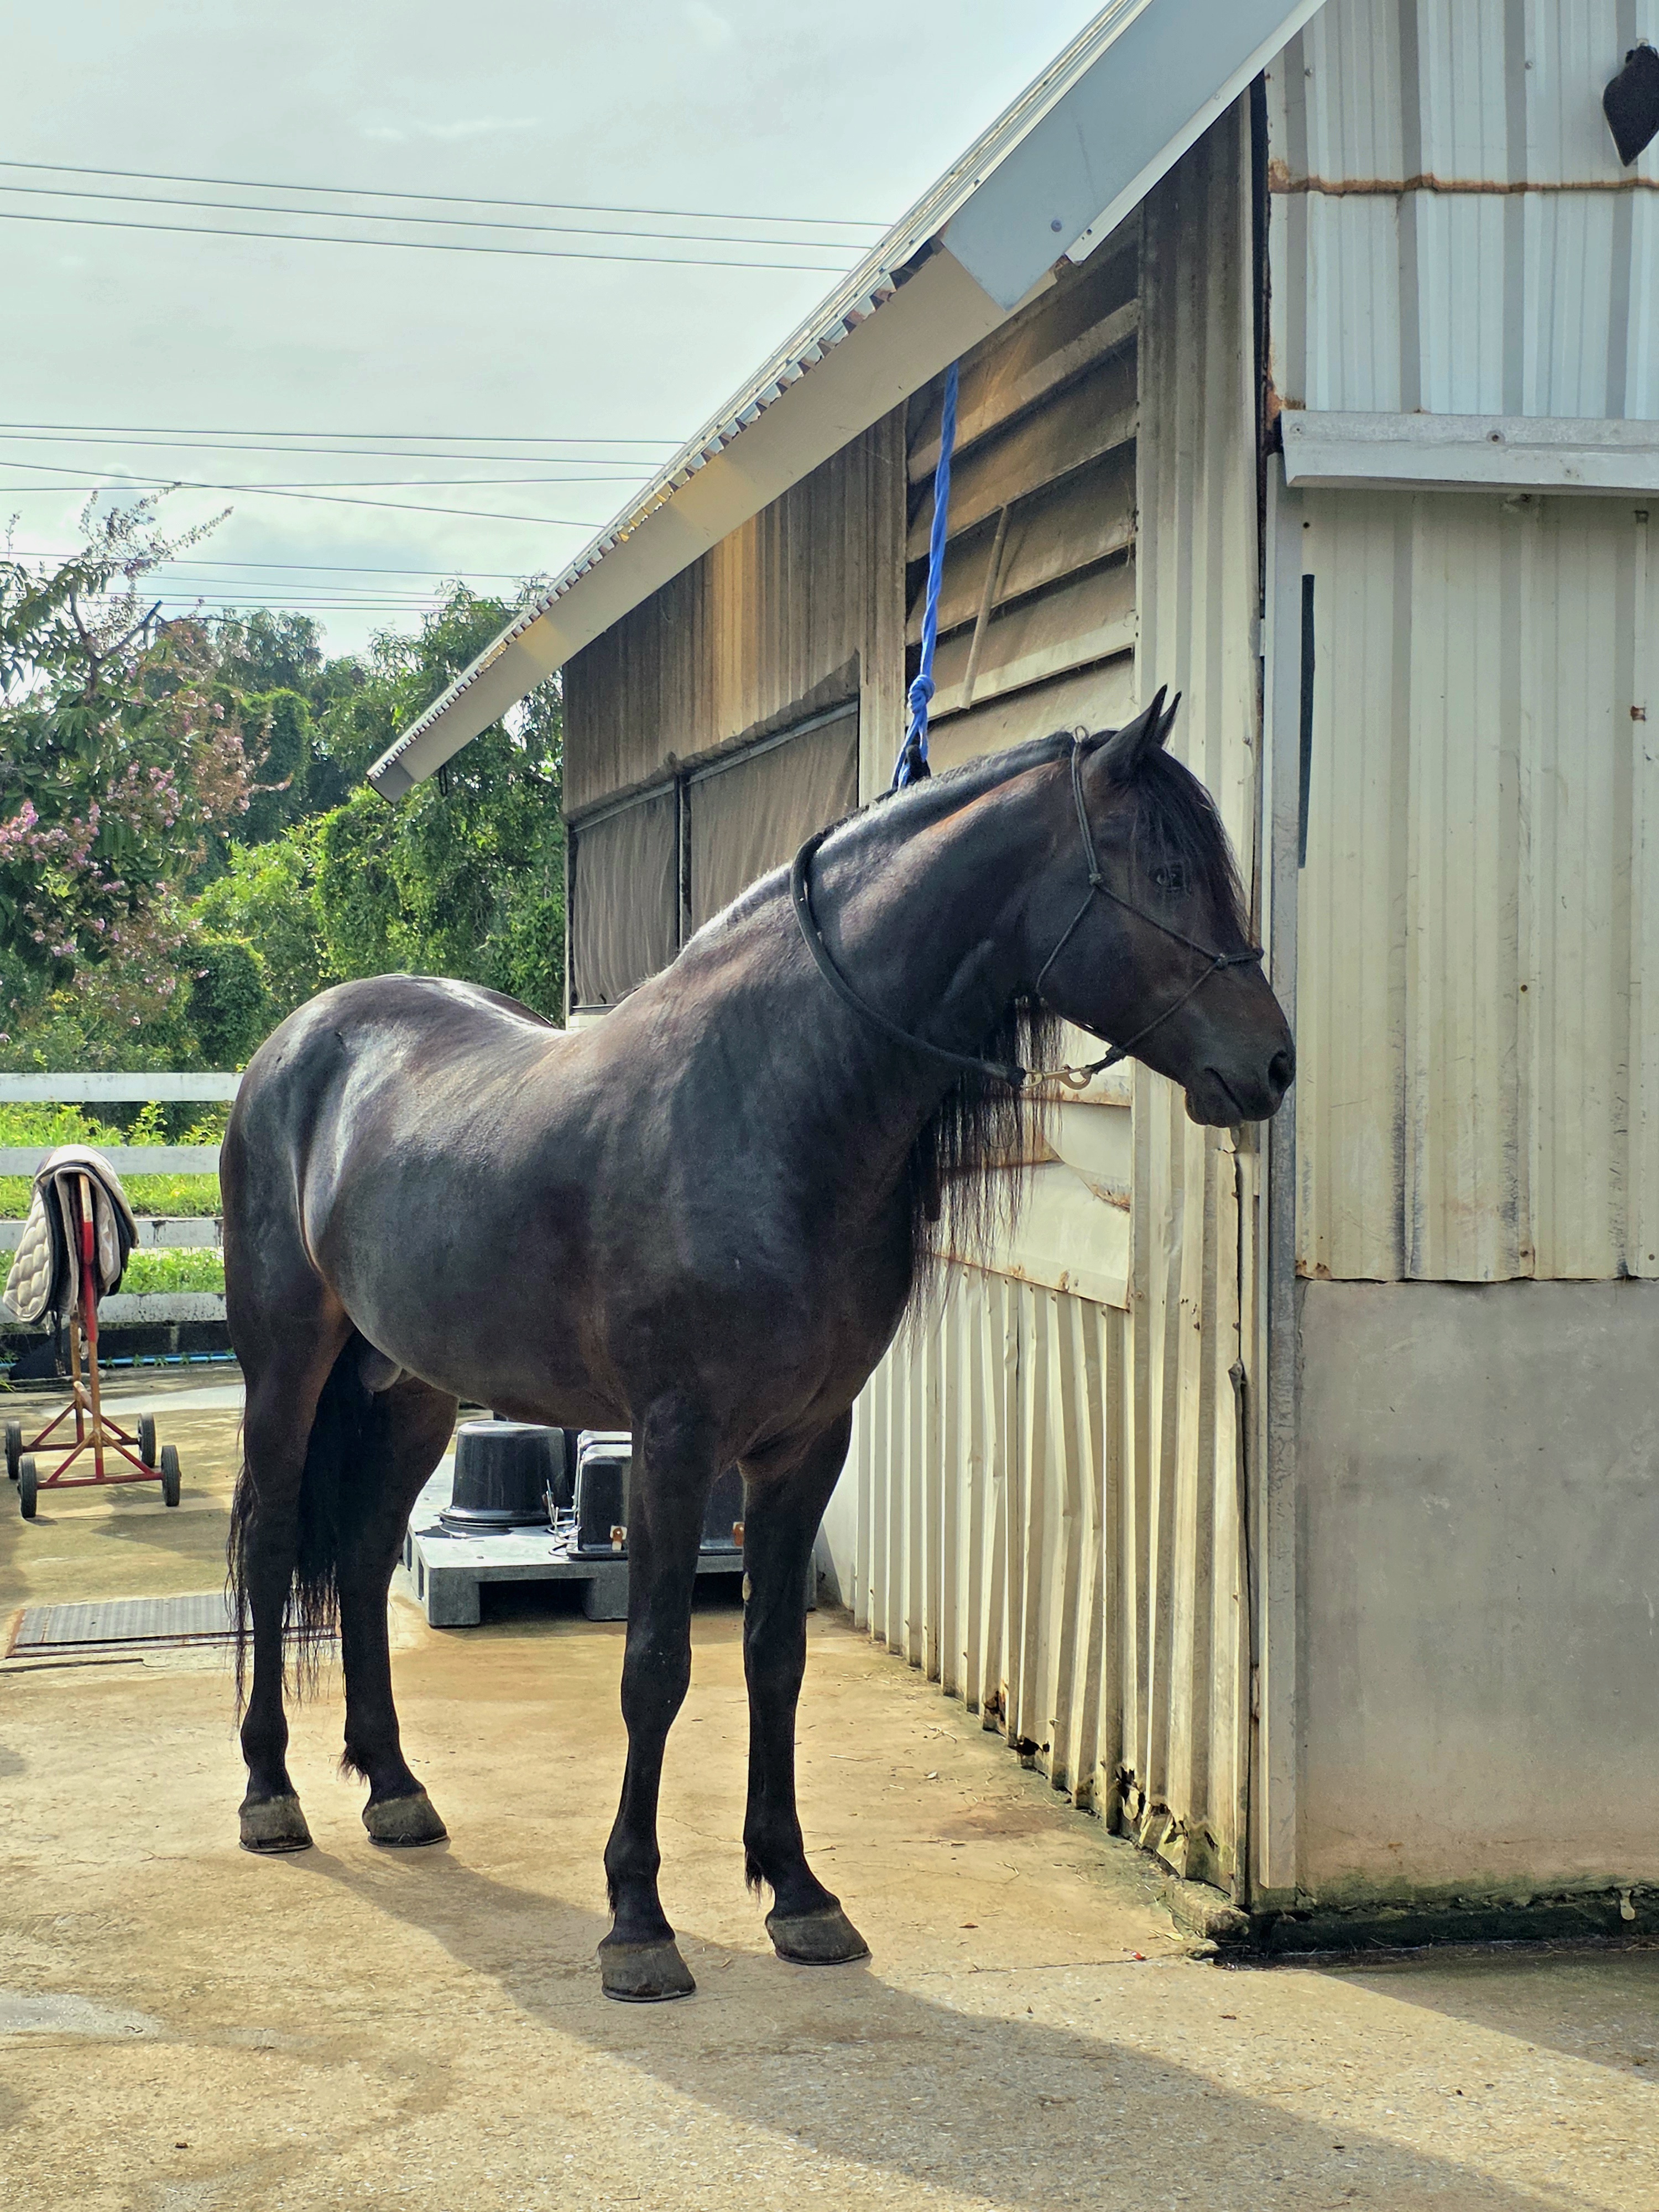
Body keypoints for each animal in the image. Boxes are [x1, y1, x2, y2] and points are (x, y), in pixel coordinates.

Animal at [222, 690, 1294, 2003]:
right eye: (1168, 869)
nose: (1272, 1064)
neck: (762, 1101)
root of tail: (300, 1042)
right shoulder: (677, 1440)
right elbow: (655, 1665)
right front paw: (638, 1921)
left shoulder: (805, 1444)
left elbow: (775, 1659)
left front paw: (798, 1892)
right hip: (286, 1368)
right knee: (277, 1547)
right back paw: (269, 1792)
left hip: (412, 1388)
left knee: (370, 1561)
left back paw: (393, 1787)